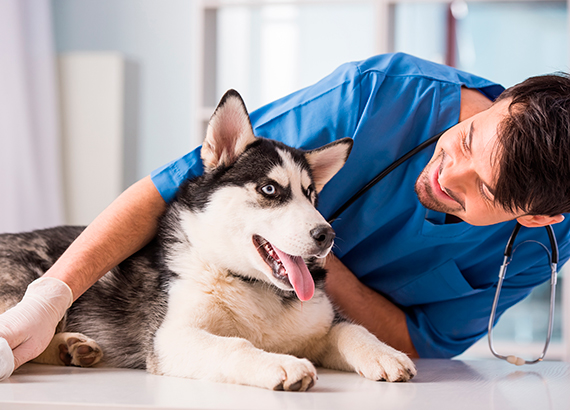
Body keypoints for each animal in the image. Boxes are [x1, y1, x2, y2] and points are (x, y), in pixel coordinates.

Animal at [0, 89, 412, 390]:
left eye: (311, 196)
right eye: (269, 189)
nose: (326, 235)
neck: (251, 286)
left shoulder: (321, 322)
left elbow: (352, 328)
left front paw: (385, 353)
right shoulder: (171, 337)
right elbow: (234, 345)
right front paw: (280, 363)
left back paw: (73, 348)